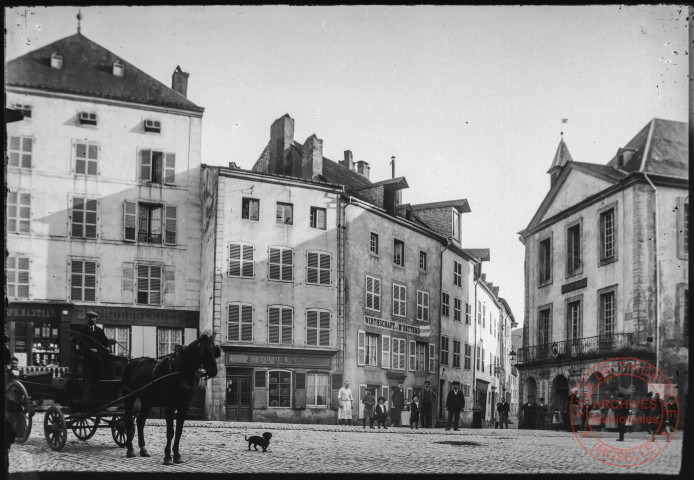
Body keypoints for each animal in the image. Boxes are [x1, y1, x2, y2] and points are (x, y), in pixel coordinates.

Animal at [120, 334, 220, 464]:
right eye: (205, 350)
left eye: (214, 350)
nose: (214, 371)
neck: (180, 372)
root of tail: (132, 362)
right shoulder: (169, 407)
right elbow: (170, 432)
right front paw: (167, 456)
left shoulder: (183, 407)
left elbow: (179, 432)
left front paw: (177, 455)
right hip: (129, 399)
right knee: (127, 420)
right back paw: (130, 449)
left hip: (147, 402)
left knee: (140, 421)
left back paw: (143, 449)